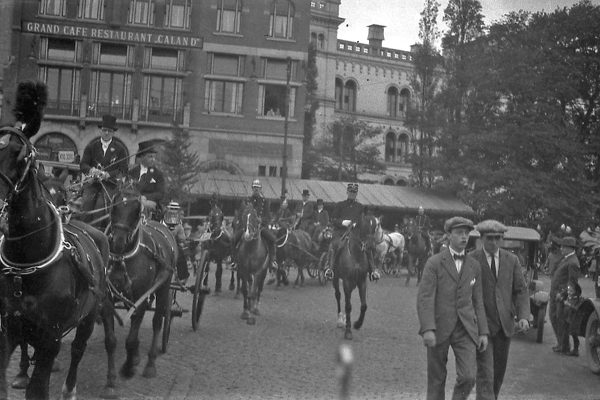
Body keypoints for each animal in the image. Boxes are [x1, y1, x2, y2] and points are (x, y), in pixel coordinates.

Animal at [0, 126, 116, 400]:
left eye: (20, 156)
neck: (25, 266)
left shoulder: (50, 338)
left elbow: (38, 389)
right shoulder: (8, 330)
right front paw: (21, 373)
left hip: (90, 314)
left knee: (78, 349)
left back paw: (71, 387)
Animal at [107, 184, 177, 378]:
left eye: (137, 211)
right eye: (114, 207)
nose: (118, 242)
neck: (124, 257)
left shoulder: (140, 296)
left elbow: (131, 338)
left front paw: (128, 367)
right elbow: (113, 337)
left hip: (163, 287)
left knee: (157, 321)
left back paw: (150, 364)